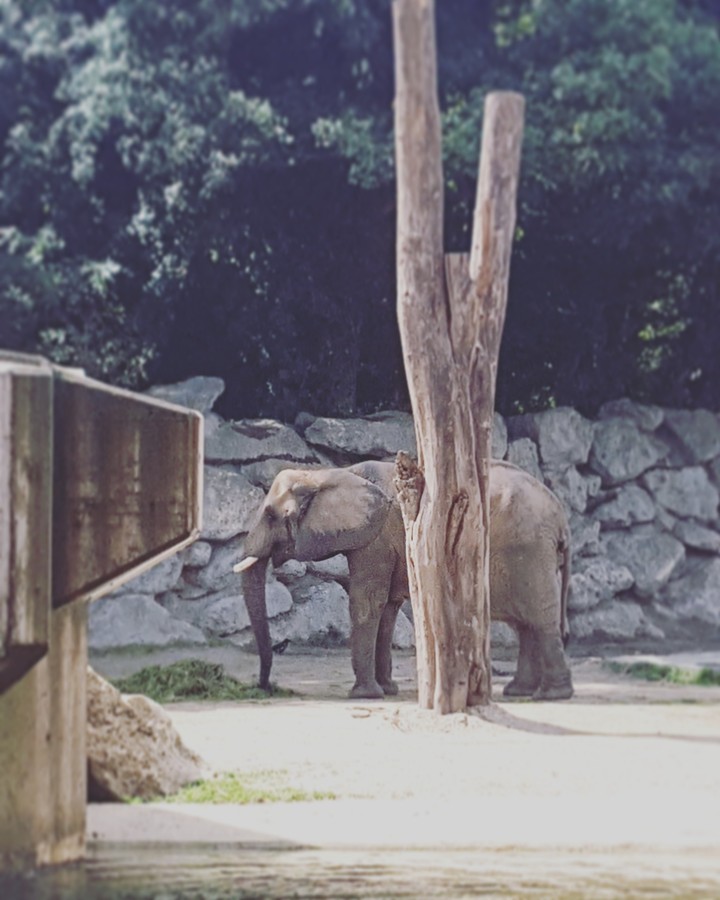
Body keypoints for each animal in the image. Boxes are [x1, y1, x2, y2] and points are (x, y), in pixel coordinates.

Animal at [234, 459, 573, 701]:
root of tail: (561, 515)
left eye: (270, 516)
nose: (265, 686)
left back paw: (551, 695)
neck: (327, 474)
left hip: (528, 552)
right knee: (526, 624)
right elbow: (387, 609)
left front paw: (363, 695)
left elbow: (367, 602)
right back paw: (520, 692)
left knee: (539, 619)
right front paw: (387, 690)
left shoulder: (376, 539)